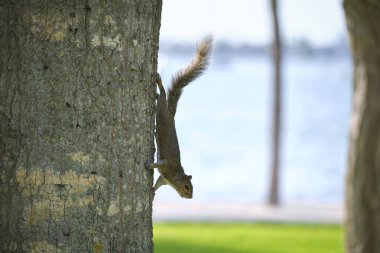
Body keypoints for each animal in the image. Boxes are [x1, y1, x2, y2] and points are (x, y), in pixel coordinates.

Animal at [149, 35, 214, 199]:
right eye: (186, 187)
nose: (190, 197)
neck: (175, 177)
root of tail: (171, 116)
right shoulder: (167, 166)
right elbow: (158, 164)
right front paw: (149, 165)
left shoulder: (163, 179)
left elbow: (157, 184)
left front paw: (152, 191)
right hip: (161, 110)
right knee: (163, 94)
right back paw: (159, 83)